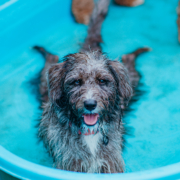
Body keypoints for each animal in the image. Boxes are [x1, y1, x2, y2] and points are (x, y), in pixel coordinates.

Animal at [33, 0, 150, 173]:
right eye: (76, 82)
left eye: (102, 81)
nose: (90, 104)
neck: (90, 134)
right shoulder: (70, 164)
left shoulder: (111, 163)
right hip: (45, 86)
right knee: (51, 59)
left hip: (130, 83)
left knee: (128, 59)